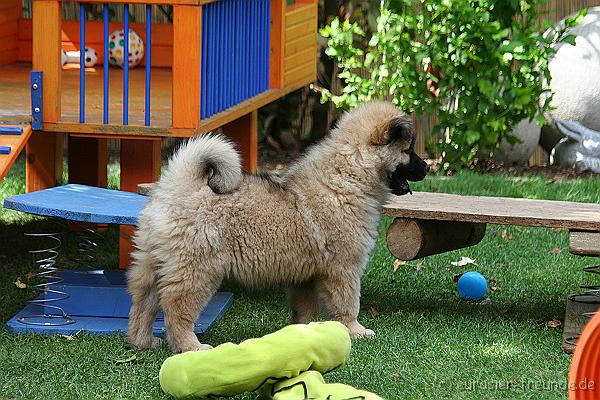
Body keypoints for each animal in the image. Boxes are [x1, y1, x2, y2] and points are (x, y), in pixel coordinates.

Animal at [126, 101, 426, 354]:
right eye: (407, 151)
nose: (426, 168)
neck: (346, 177)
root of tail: (179, 186)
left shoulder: (306, 275)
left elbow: (305, 308)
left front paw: (305, 332)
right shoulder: (344, 269)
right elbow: (347, 304)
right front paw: (356, 331)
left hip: (153, 262)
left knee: (143, 300)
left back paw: (142, 341)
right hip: (198, 269)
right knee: (176, 307)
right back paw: (191, 346)